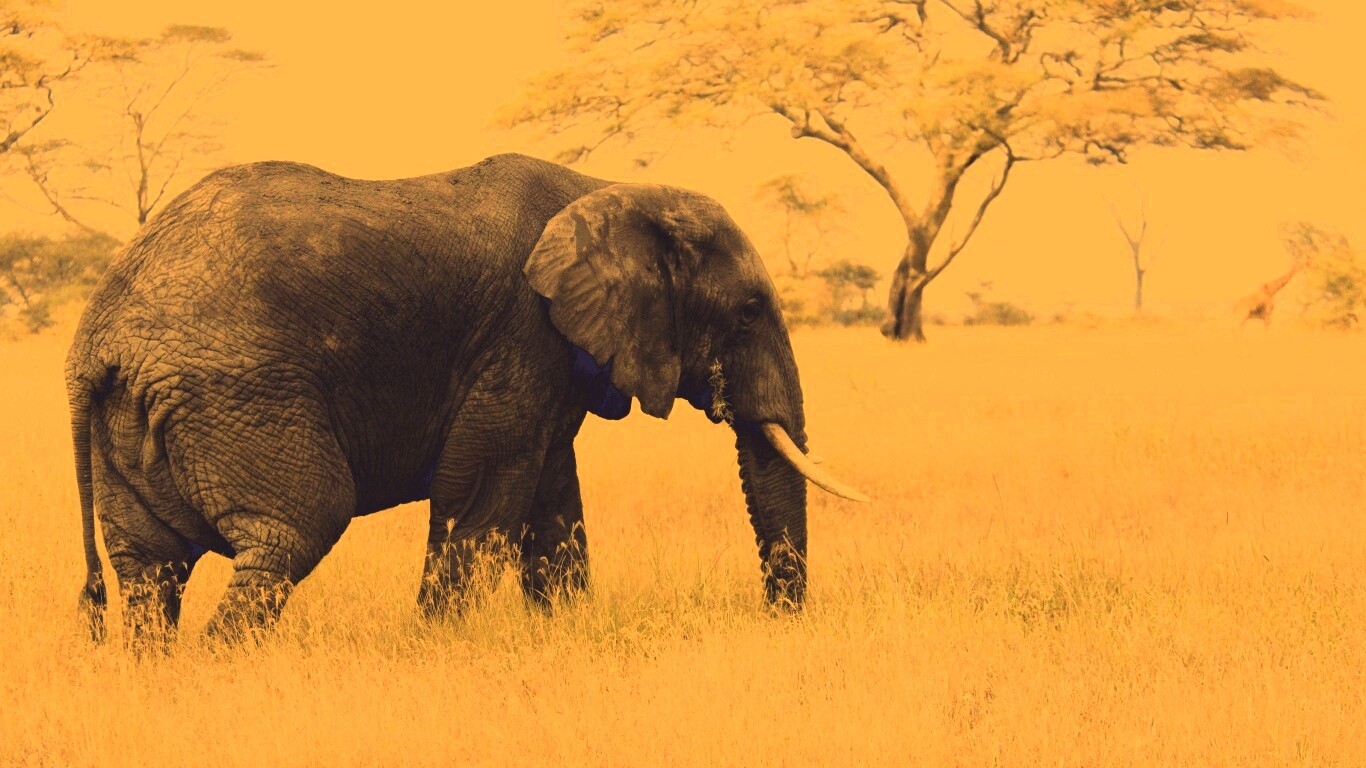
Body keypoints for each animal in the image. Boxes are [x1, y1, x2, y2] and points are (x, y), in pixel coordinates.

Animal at [65, 152, 867, 645]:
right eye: (749, 311)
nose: (778, 622)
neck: (607, 188)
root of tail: (95, 340)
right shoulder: (520, 334)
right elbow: (481, 494)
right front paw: (436, 646)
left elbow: (551, 503)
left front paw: (562, 635)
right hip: (238, 393)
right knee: (294, 528)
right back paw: (223, 667)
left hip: (139, 416)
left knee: (150, 569)